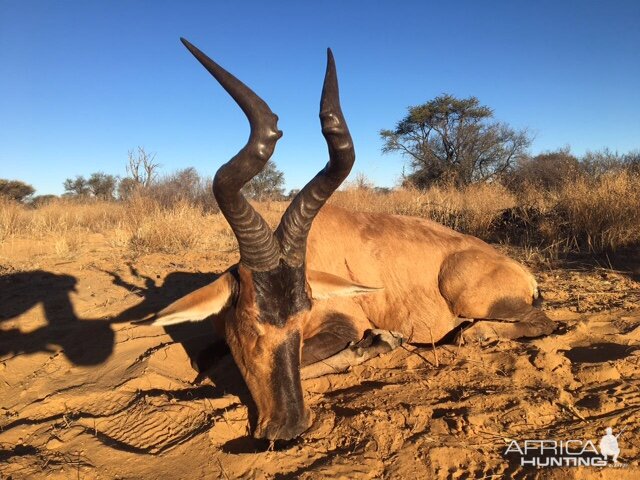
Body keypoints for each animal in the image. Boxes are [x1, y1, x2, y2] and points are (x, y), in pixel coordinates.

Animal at [139, 39, 556, 440]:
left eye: (301, 318)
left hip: (471, 296)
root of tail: (522, 274)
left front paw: (380, 342)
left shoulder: (347, 323)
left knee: (540, 322)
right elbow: (208, 361)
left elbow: (236, 370)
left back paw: (475, 334)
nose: (288, 428)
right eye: (249, 324)